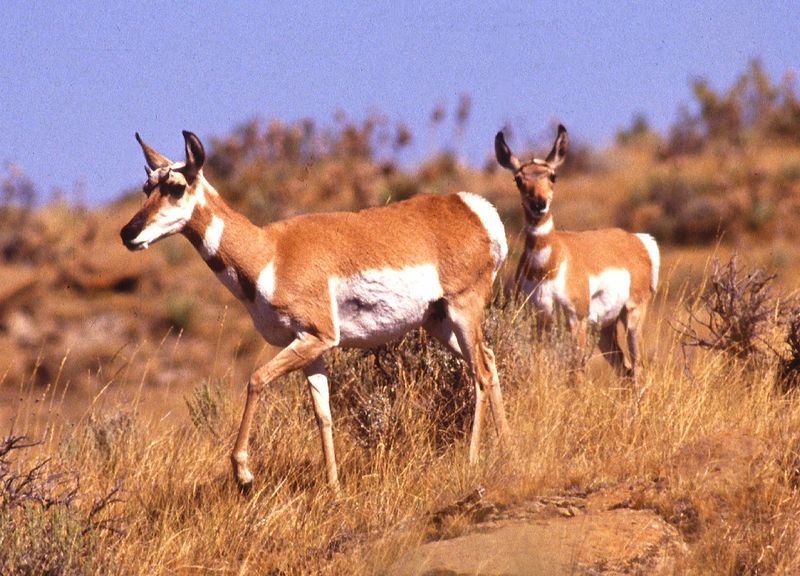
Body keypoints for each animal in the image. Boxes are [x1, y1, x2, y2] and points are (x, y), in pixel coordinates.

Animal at [121, 133, 510, 492]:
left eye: (176, 187)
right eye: (147, 187)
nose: (128, 233)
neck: (270, 253)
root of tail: (471, 208)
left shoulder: (316, 336)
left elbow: (256, 379)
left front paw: (243, 473)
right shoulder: (312, 348)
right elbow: (323, 415)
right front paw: (334, 488)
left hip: (462, 309)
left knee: (480, 372)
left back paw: (473, 459)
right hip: (438, 322)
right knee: (489, 361)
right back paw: (509, 447)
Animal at [496, 124, 660, 380]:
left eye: (553, 176)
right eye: (518, 179)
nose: (539, 204)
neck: (549, 264)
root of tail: (636, 239)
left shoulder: (576, 320)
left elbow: (576, 373)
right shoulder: (540, 321)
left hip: (632, 314)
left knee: (638, 368)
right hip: (606, 328)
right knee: (624, 369)